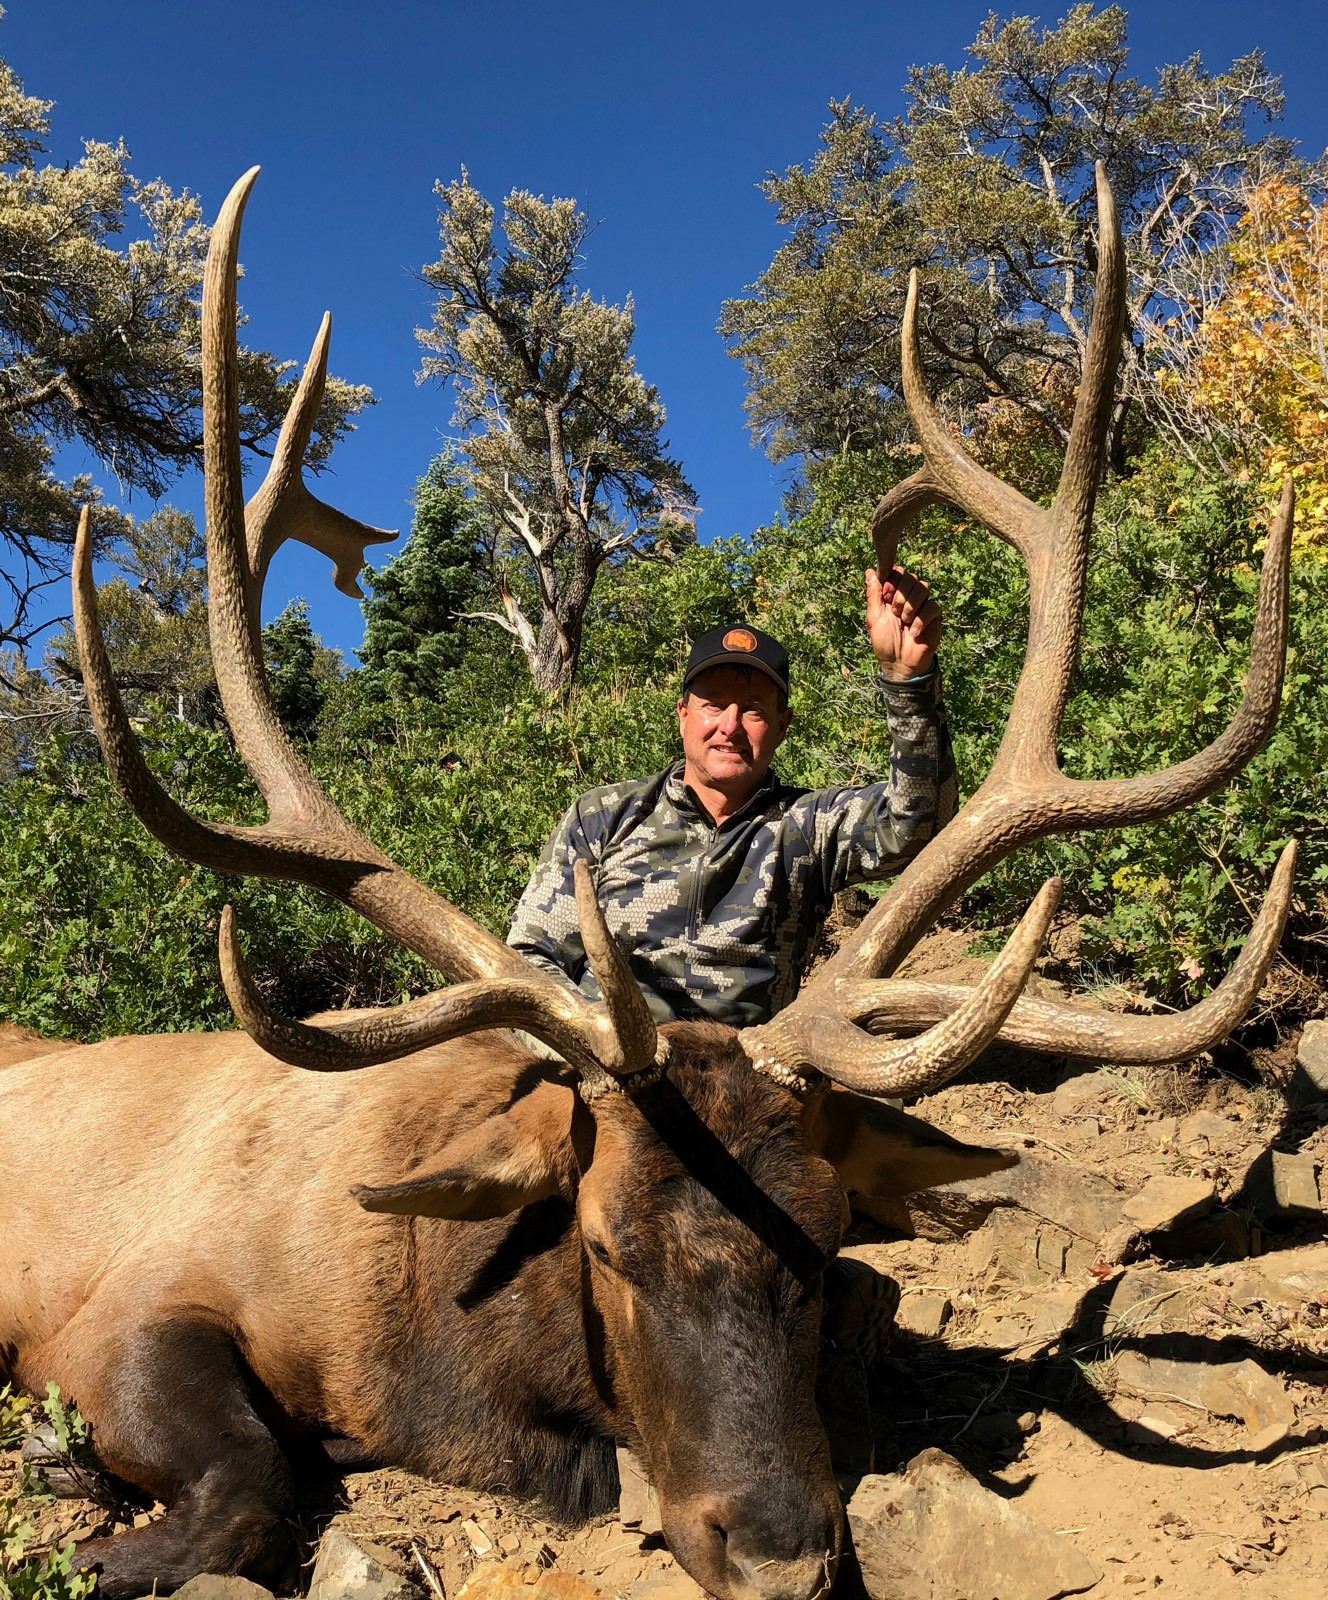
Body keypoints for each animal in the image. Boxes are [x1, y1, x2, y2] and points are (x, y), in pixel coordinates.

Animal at [0, 163, 1295, 1600]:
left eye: (826, 1237)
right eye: (606, 1241)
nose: (781, 1553)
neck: (429, 1336)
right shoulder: (120, 1303)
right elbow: (246, 1486)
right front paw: (94, 1527)